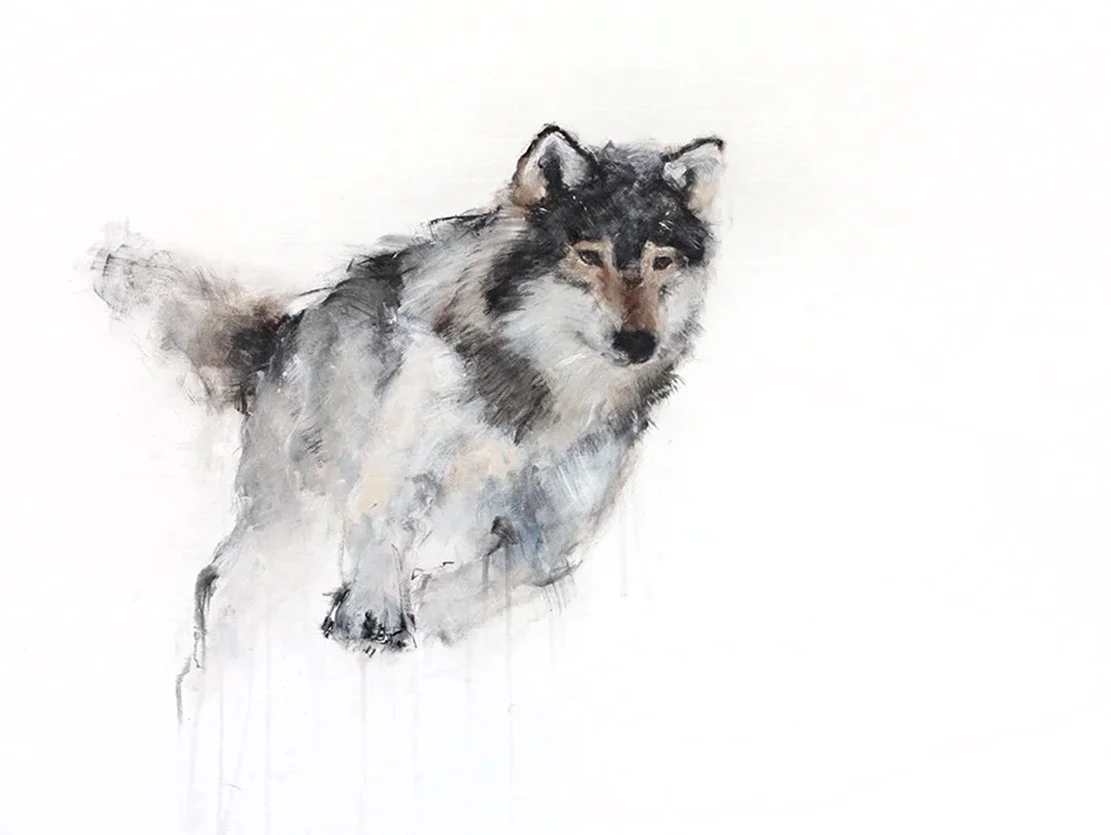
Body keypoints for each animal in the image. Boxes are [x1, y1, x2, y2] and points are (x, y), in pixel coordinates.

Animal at [92, 125, 726, 668]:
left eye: (661, 261)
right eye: (589, 255)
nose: (639, 342)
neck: (534, 380)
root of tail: (288, 329)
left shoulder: (554, 529)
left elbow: (498, 573)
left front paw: (427, 607)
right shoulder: (400, 464)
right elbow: (384, 525)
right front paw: (374, 609)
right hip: (290, 515)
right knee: (225, 580)